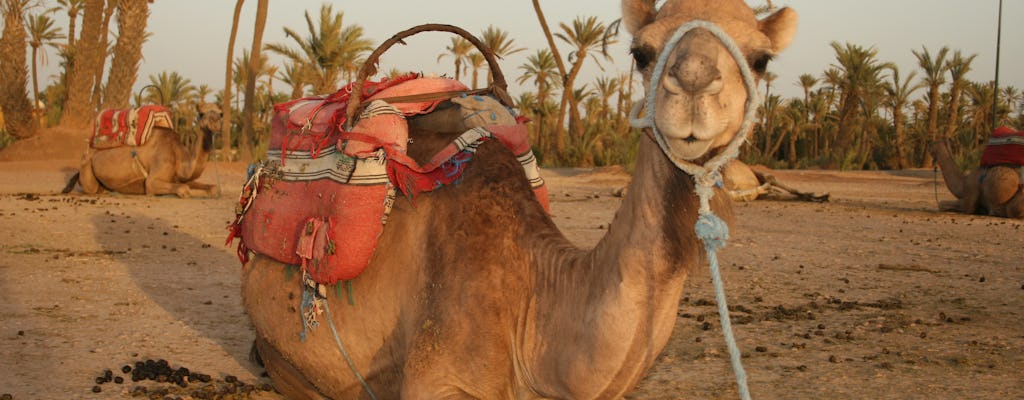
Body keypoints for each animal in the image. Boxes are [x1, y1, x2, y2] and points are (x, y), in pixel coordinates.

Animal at [63, 102, 222, 198]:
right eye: (201, 113)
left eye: (220, 113)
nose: (215, 123)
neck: (179, 157)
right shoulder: (152, 181)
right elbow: (184, 189)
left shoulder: (179, 177)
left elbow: (212, 187)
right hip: (87, 166)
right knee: (90, 188)